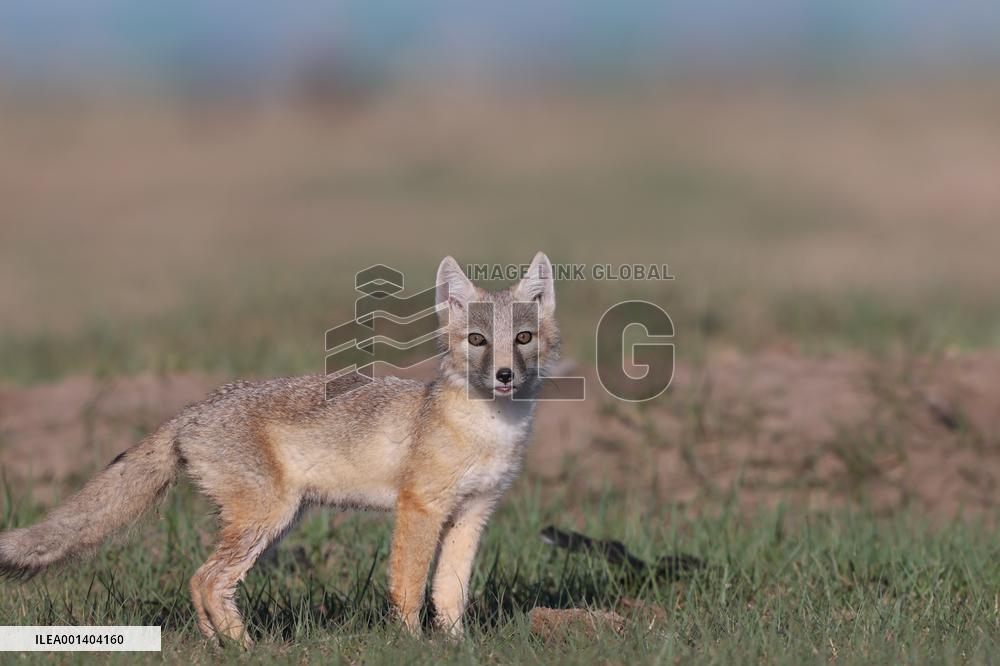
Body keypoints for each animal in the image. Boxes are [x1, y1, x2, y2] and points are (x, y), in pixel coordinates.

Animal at [0, 251, 559, 646]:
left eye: (523, 338)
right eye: (477, 341)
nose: (504, 376)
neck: (489, 433)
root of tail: (193, 410)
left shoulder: (473, 514)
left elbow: (449, 592)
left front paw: (456, 645)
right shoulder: (419, 508)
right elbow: (409, 585)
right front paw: (412, 645)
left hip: (276, 520)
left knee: (201, 581)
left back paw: (221, 645)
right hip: (267, 517)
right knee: (206, 579)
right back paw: (245, 647)